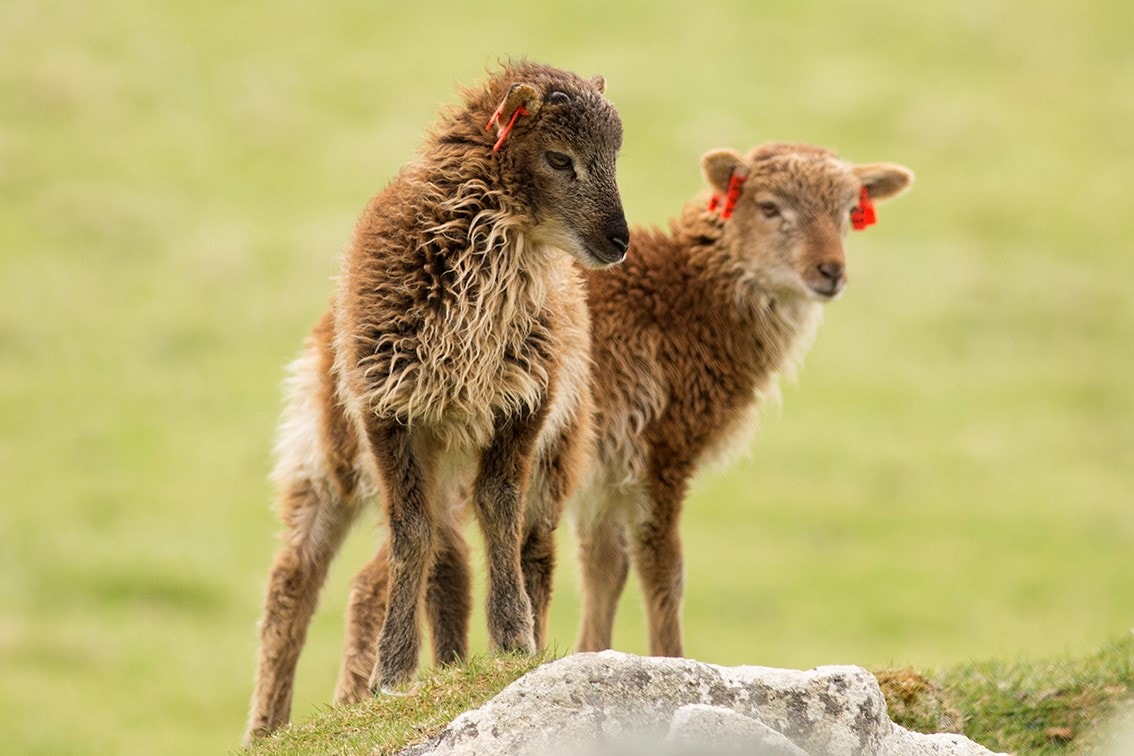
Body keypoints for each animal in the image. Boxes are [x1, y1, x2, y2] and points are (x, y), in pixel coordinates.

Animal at [576, 140, 911, 657]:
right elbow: (664, 571)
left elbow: (604, 566)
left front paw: (589, 653)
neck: (684, 299)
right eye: (769, 206)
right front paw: (672, 658)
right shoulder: (662, 448)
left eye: (850, 211)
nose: (830, 272)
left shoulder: (605, 469)